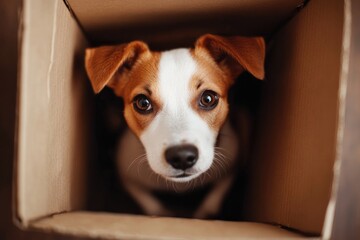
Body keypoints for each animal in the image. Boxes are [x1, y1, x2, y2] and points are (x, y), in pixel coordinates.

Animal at [84, 34, 264, 218]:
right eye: (142, 103)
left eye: (208, 98)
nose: (182, 157)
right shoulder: (127, 174)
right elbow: (148, 202)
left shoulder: (232, 163)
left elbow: (215, 196)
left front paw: (206, 212)